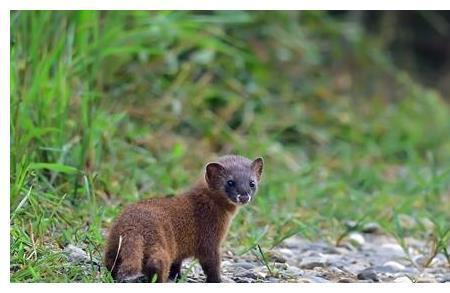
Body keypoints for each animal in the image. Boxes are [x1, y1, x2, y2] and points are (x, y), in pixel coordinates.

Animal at [103, 154, 262, 282]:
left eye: (252, 183)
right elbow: (211, 263)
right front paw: (217, 280)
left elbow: (177, 263)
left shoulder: (180, 249)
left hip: (113, 242)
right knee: (157, 262)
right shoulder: (209, 238)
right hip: (159, 241)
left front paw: (176, 276)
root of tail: (133, 226)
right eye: (230, 182)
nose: (244, 196)